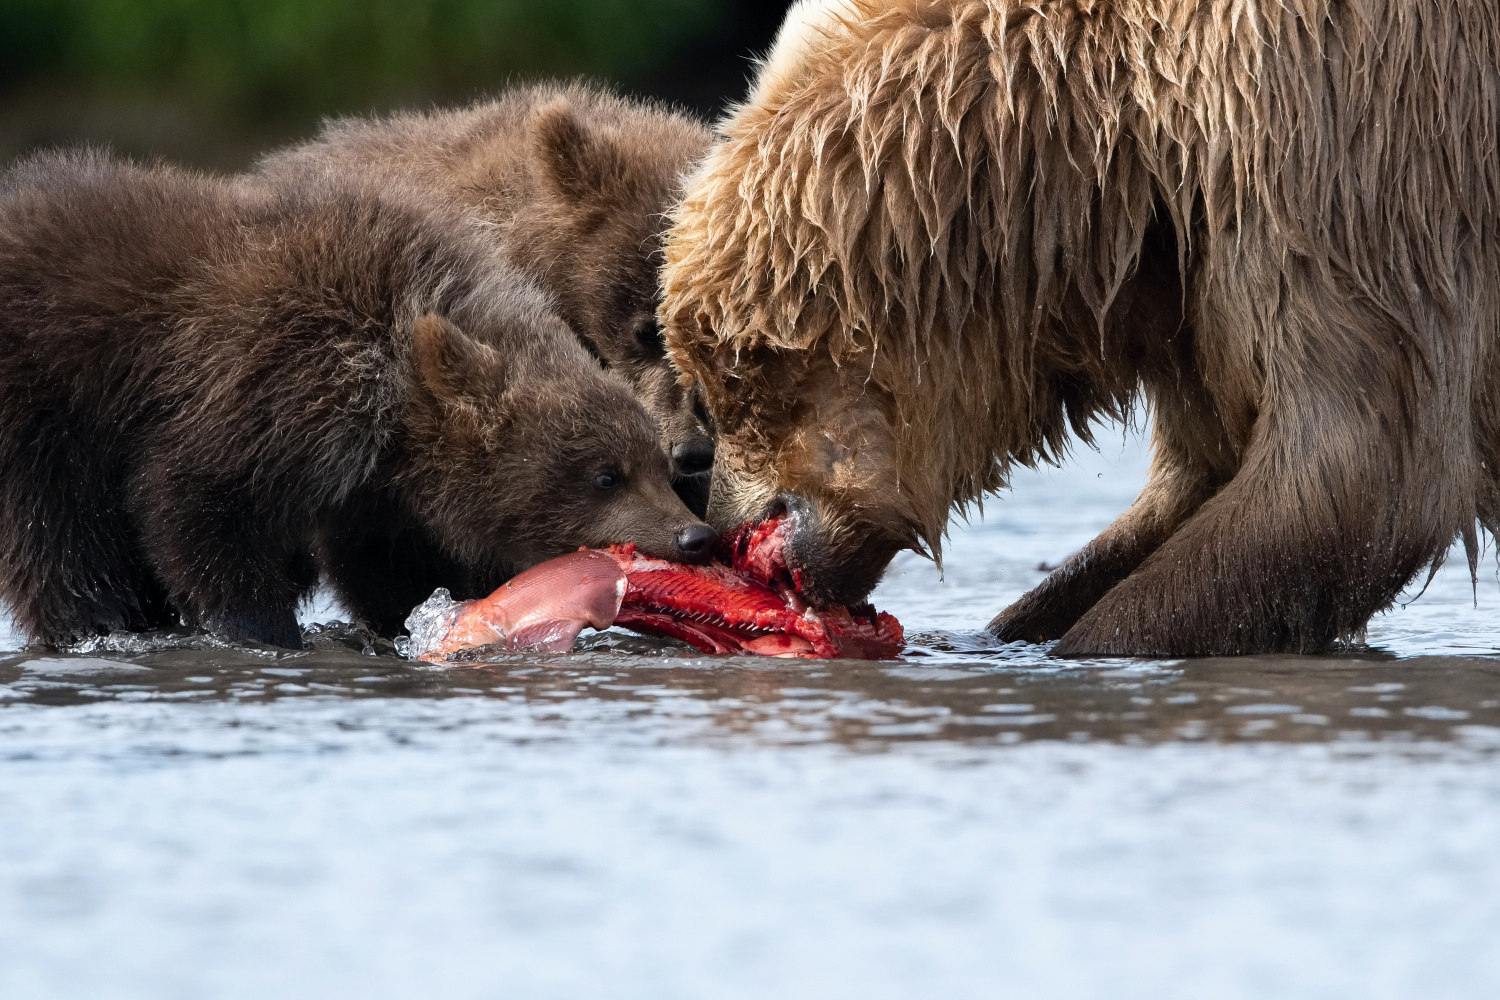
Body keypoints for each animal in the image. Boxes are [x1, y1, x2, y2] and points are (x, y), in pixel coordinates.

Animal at [0, 148, 717, 650]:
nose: (694, 533)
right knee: (56, 529)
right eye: (605, 474)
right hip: (46, 397)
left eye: (658, 463)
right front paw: (263, 627)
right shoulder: (268, 380)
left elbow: (385, 569)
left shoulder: (373, 492)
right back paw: (96, 618)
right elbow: (191, 497)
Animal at [663, 0, 1500, 659]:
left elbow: (1361, 469)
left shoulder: (1333, 141)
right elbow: (1199, 481)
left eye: (739, 369)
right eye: (708, 371)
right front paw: (1017, 624)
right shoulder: (1193, 285)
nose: (726, 530)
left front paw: (1098, 639)